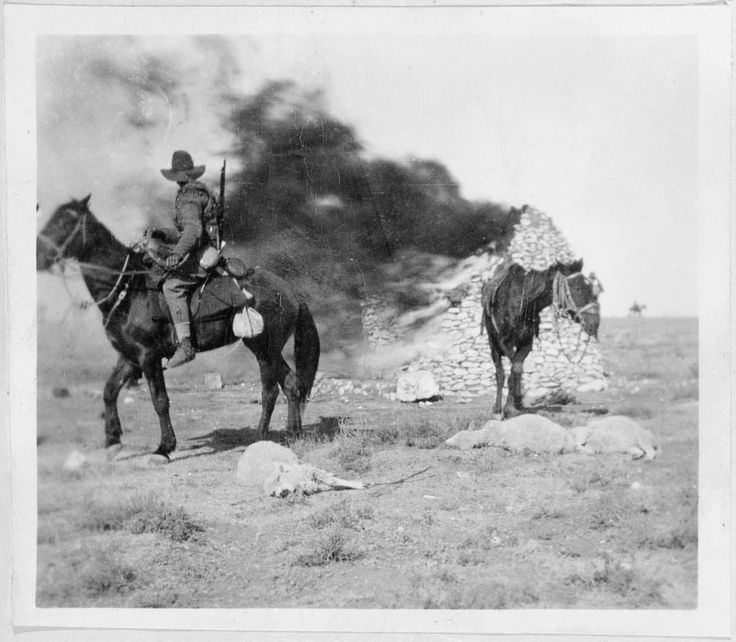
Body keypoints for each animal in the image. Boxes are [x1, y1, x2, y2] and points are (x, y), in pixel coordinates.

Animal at [36, 195, 320, 460]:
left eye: (65, 221)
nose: (39, 257)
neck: (129, 291)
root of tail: (290, 291)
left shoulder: (148, 357)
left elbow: (160, 400)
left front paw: (164, 447)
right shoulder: (129, 356)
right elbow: (109, 391)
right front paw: (113, 441)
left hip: (264, 349)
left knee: (272, 390)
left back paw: (261, 436)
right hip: (268, 350)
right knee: (291, 384)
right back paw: (293, 434)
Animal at [480, 258, 600, 418]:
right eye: (576, 287)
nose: (594, 323)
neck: (522, 303)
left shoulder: (526, 344)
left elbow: (517, 368)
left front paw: (515, 405)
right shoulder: (504, 343)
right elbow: (512, 370)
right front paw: (509, 407)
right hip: (493, 345)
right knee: (499, 374)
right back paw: (497, 407)